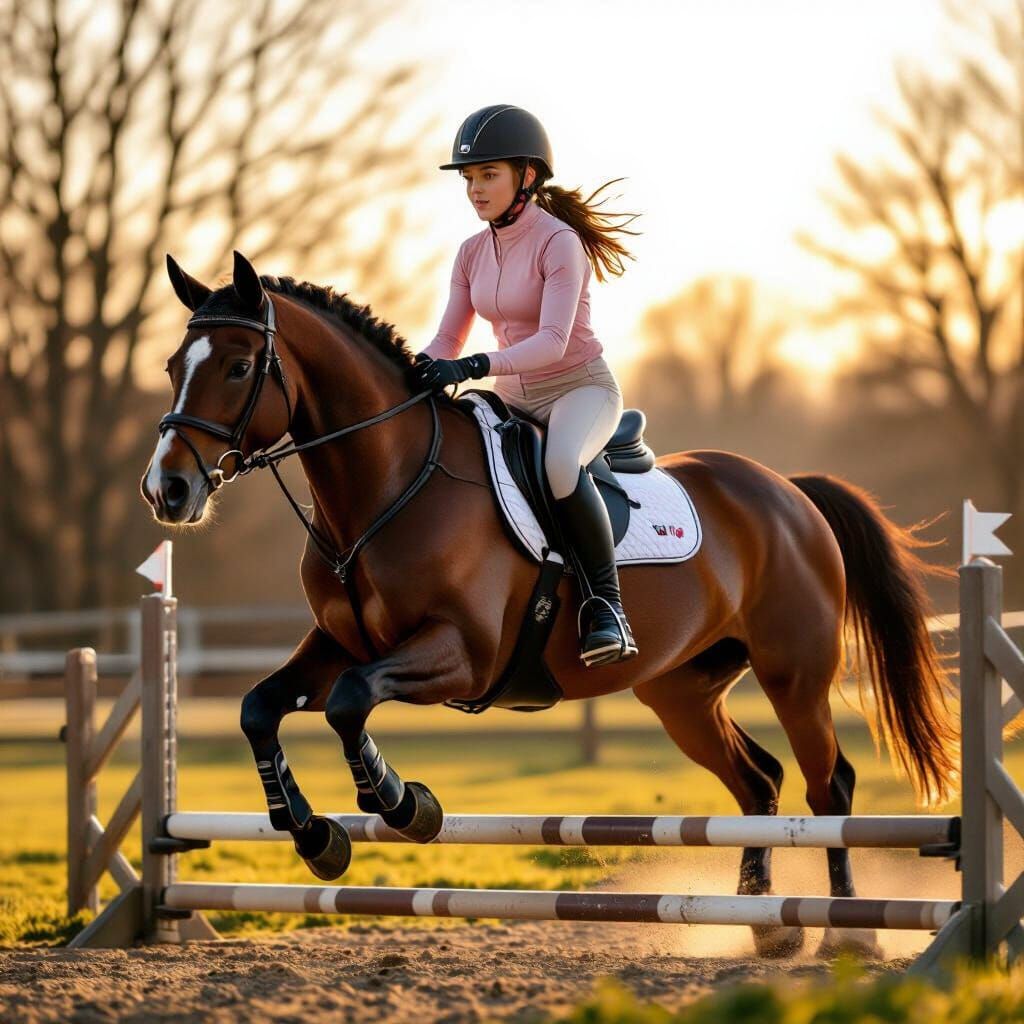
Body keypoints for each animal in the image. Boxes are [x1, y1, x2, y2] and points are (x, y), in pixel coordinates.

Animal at [141, 251, 958, 959]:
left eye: (239, 367)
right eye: (173, 367)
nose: (167, 491)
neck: (386, 488)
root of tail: (788, 490)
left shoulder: (461, 656)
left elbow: (348, 703)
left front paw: (404, 804)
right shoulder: (338, 643)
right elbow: (260, 708)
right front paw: (314, 835)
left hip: (794, 674)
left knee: (829, 785)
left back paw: (848, 934)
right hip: (682, 692)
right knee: (758, 781)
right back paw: (767, 927)